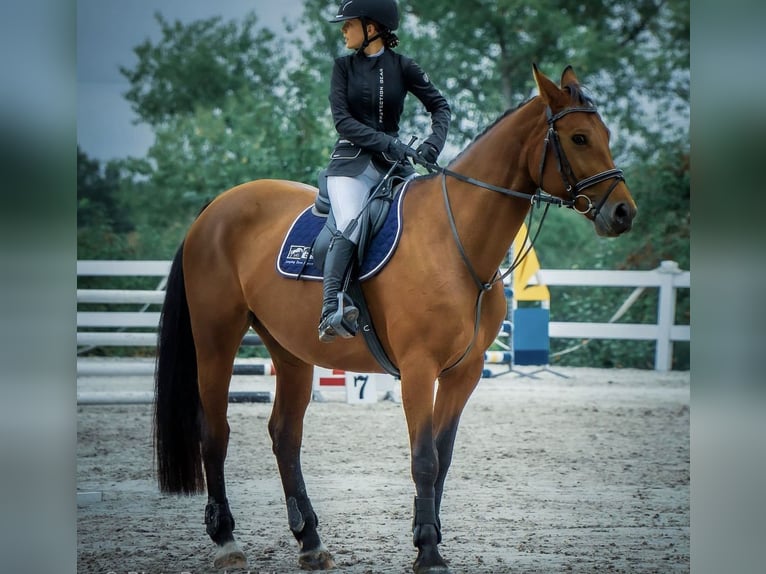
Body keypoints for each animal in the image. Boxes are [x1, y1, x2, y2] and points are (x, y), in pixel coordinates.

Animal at [154, 64, 636, 573]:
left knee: (285, 435)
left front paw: (431, 537)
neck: (456, 240)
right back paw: (227, 540)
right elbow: (423, 458)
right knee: (215, 431)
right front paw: (428, 550)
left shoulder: (464, 372)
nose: (623, 212)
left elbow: (442, 457)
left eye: (605, 134)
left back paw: (311, 541)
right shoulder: (419, 369)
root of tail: (215, 207)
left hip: (289, 352)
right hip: (216, 339)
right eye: (579, 138)